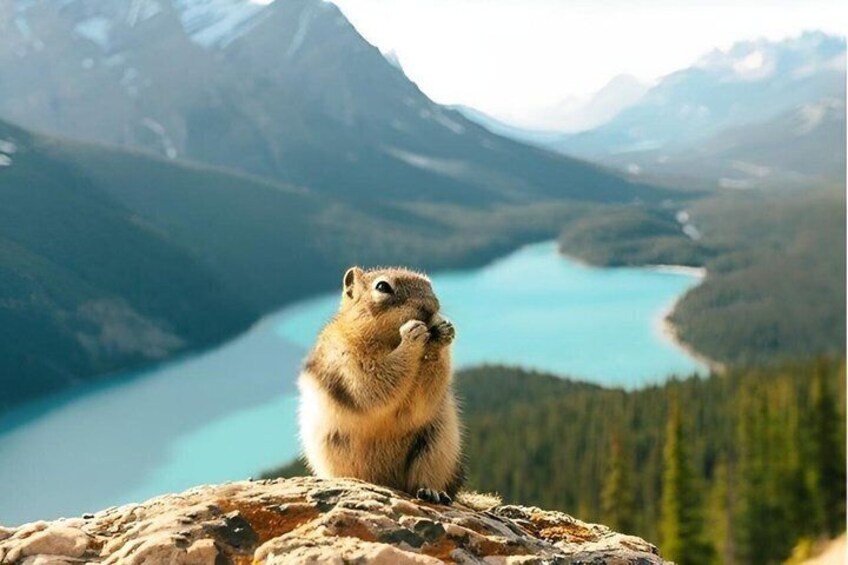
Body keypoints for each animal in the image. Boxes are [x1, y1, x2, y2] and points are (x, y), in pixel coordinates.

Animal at [298, 266, 463, 504]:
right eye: (382, 286)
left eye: (430, 285)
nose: (431, 308)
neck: (390, 341)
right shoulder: (348, 360)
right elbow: (373, 384)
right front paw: (412, 335)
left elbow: (424, 398)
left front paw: (442, 330)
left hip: (436, 447)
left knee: (422, 479)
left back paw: (432, 492)